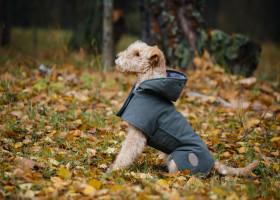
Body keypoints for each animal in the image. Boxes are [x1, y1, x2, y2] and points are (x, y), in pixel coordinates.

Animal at [106, 41, 258, 177]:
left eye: (137, 54)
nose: (116, 57)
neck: (149, 88)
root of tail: (213, 163)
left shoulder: (137, 134)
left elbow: (126, 153)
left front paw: (114, 169)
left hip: (180, 159)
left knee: (180, 174)